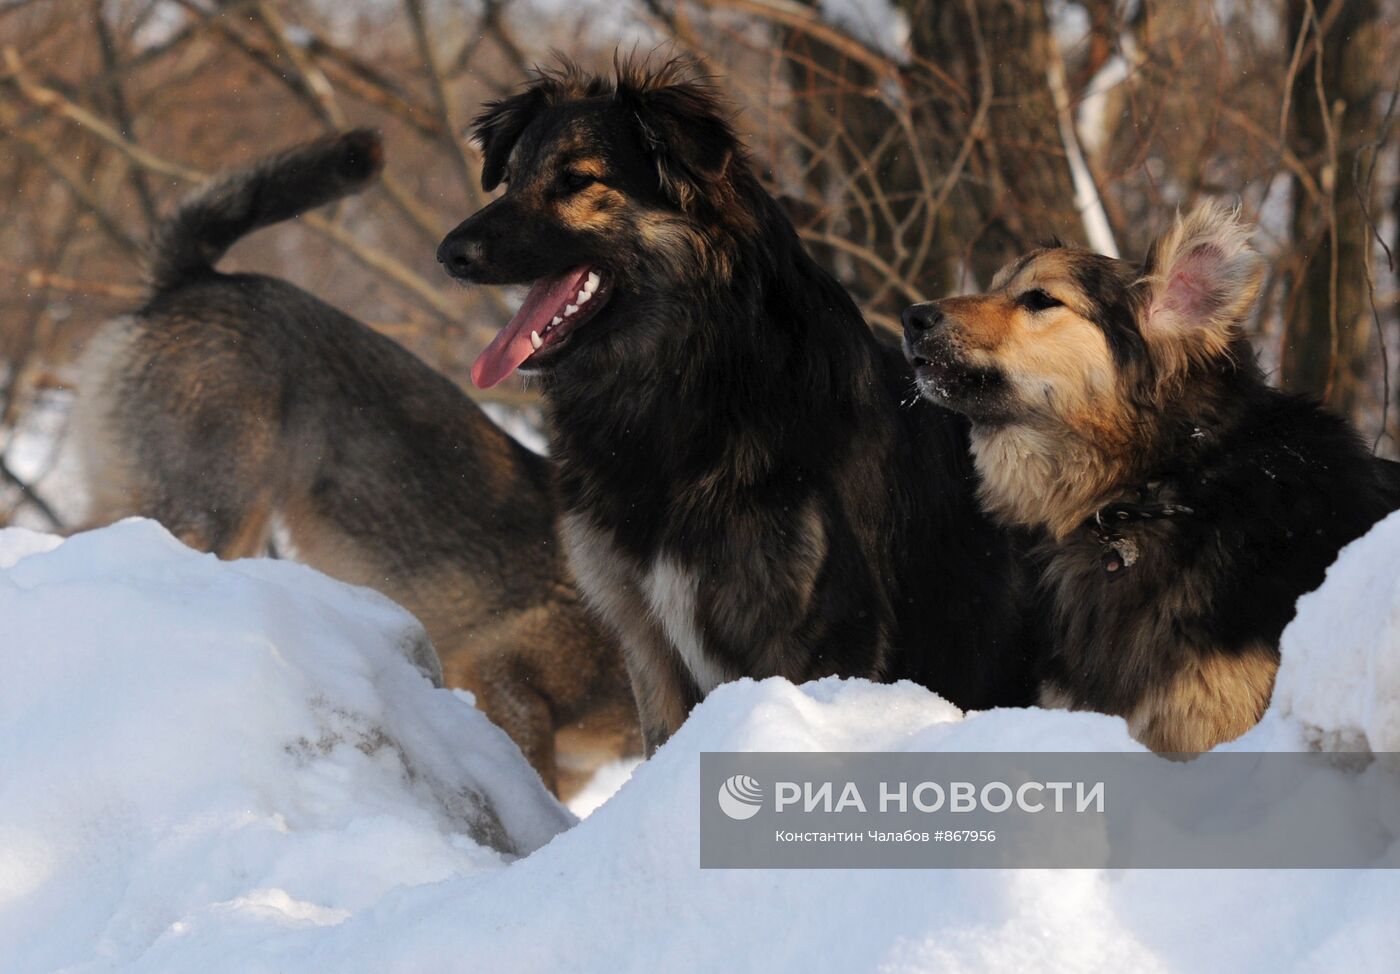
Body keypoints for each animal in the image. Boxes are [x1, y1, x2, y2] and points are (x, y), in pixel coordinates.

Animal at [436, 57, 1041, 750]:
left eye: (576, 180)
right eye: (510, 179)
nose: (448, 253)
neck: (692, 382)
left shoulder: (817, 639)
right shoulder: (648, 640)